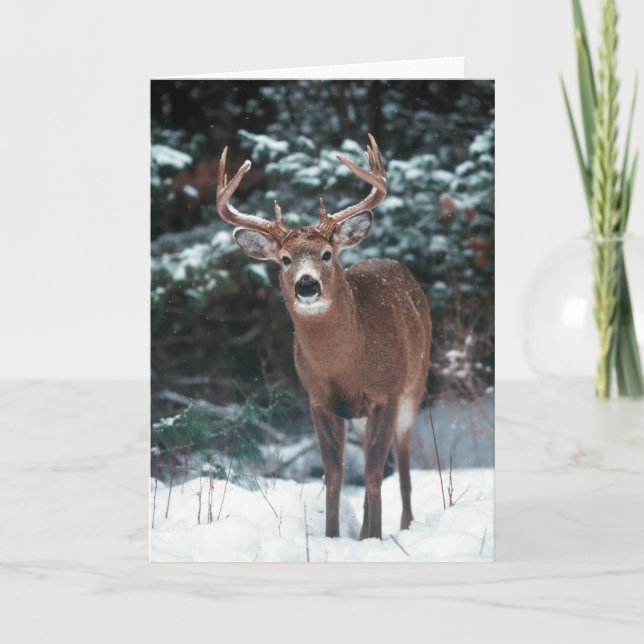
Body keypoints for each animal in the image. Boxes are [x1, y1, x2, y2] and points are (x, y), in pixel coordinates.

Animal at [216, 135, 431, 540]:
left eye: (327, 253)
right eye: (285, 259)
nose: (306, 285)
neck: (345, 367)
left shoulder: (386, 393)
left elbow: (374, 473)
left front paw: (374, 538)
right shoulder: (318, 400)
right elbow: (334, 475)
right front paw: (335, 536)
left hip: (415, 386)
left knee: (404, 460)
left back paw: (404, 525)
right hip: (362, 415)